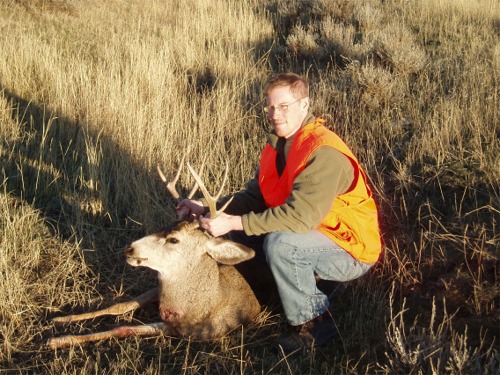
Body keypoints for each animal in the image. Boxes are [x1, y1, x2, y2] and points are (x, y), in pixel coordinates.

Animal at [47, 161, 262, 350]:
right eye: (163, 227)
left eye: (174, 240)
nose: (130, 248)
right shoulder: (157, 291)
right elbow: (119, 305)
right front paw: (60, 319)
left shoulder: (179, 330)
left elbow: (122, 329)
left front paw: (58, 340)